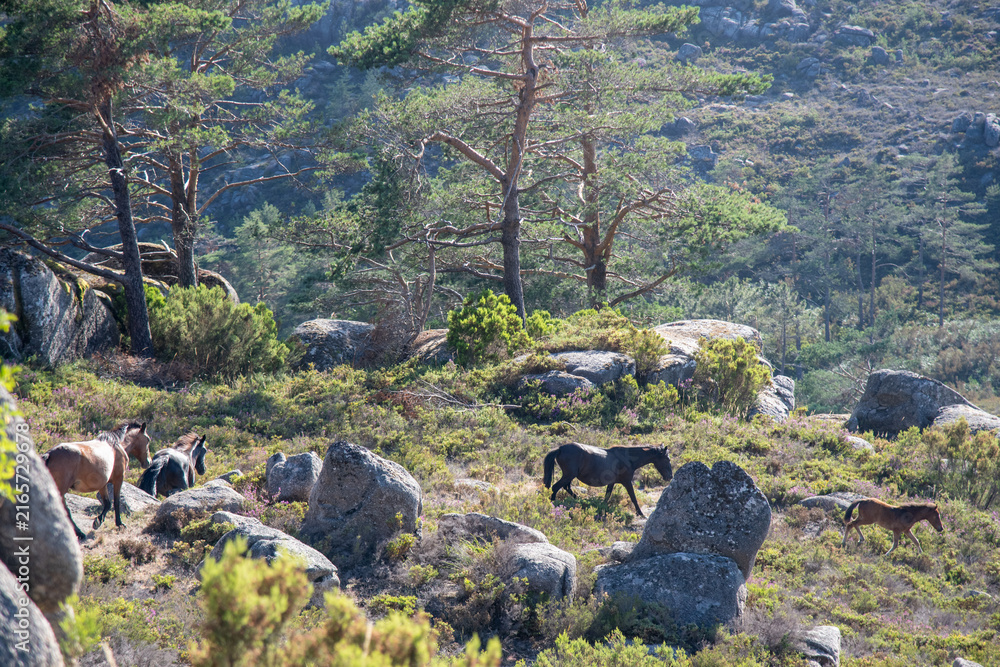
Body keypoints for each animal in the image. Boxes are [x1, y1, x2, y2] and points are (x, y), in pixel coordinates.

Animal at [543, 442, 672, 518]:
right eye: (667, 459)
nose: (670, 477)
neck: (628, 458)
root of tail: (560, 448)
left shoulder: (612, 483)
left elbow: (607, 497)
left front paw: (601, 509)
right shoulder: (627, 482)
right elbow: (633, 498)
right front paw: (641, 514)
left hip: (569, 476)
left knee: (566, 487)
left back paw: (581, 500)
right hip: (569, 475)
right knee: (555, 487)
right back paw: (553, 504)